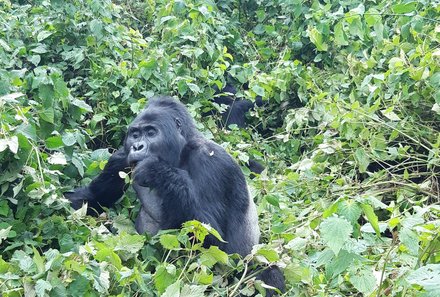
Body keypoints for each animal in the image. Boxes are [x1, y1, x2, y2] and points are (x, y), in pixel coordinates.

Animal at [65, 95, 286, 294]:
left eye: (151, 132)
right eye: (135, 135)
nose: (137, 146)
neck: (180, 152)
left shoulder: (212, 162)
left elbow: (212, 240)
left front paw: (157, 171)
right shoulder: (120, 158)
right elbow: (93, 199)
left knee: (264, 274)